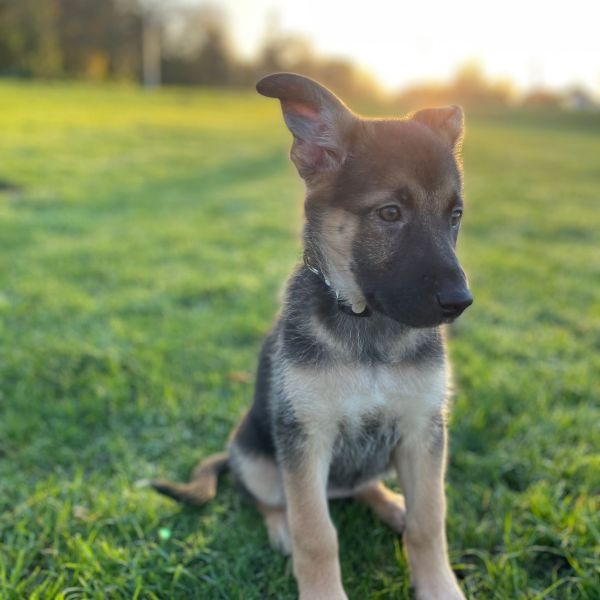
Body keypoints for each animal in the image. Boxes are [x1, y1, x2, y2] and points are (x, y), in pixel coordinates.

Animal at [154, 71, 474, 600]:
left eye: (455, 216)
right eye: (390, 213)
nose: (460, 301)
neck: (367, 328)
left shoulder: (422, 431)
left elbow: (431, 520)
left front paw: (439, 586)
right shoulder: (306, 437)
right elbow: (316, 532)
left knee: (365, 486)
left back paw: (392, 505)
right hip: (256, 454)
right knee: (267, 499)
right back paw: (281, 526)